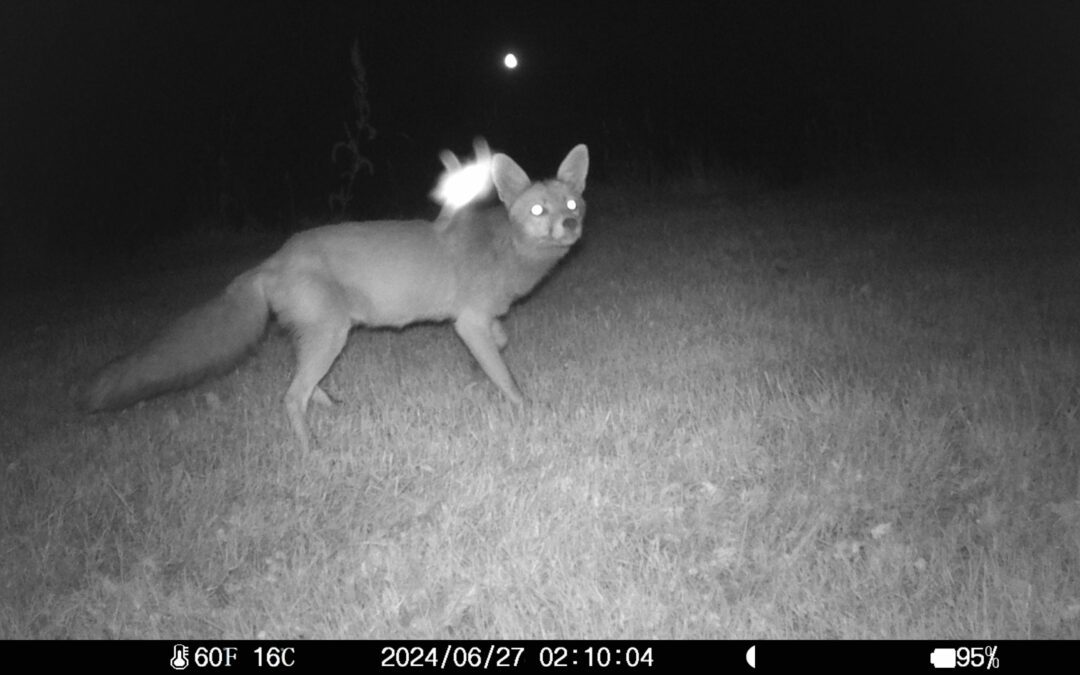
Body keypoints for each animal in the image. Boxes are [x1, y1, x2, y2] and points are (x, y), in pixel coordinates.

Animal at [79, 139, 591, 449]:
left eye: (572, 204)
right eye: (538, 210)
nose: (570, 225)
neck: (507, 250)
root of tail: (270, 260)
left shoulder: (480, 322)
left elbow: (500, 343)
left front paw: (479, 372)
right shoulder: (469, 321)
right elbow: (506, 377)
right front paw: (526, 410)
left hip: (319, 336)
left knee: (302, 384)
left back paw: (329, 406)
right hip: (332, 335)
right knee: (290, 396)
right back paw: (311, 450)